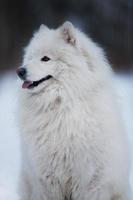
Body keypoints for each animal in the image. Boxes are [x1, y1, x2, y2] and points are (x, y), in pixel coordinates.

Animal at [16, 21, 131, 200]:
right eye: (30, 57)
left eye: (45, 58)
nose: (20, 71)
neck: (60, 104)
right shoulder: (47, 178)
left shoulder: (88, 178)